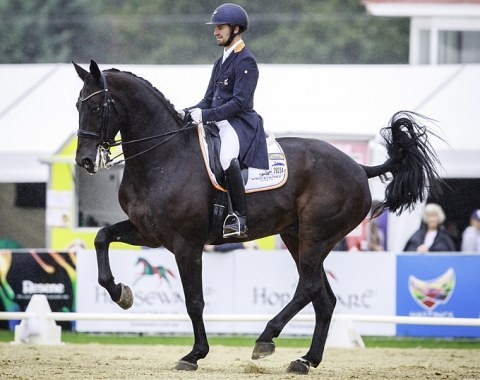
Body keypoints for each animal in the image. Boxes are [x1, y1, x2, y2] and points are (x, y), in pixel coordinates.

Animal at [74, 60, 442, 376]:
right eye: (77, 106)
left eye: (96, 108)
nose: (85, 162)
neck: (163, 156)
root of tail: (359, 168)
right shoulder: (149, 233)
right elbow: (101, 237)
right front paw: (121, 293)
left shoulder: (186, 243)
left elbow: (194, 301)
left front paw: (194, 354)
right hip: (296, 236)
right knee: (324, 298)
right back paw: (305, 360)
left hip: (316, 235)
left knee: (308, 287)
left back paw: (266, 339)